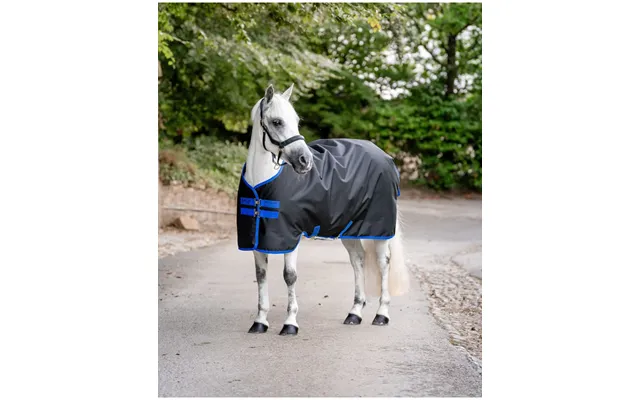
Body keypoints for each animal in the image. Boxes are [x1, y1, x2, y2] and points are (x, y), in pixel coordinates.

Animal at [237, 84, 410, 336]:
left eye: (297, 120)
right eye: (277, 121)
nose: (305, 161)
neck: (262, 185)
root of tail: (386, 157)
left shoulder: (291, 236)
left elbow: (290, 276)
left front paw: (290, 323)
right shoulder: (257, 238)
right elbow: (261, 276)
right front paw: (260, 322)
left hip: (379, 228)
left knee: (383, 262)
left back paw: (381, 314)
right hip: (349, 229)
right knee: (358, 260)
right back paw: (354, 313)